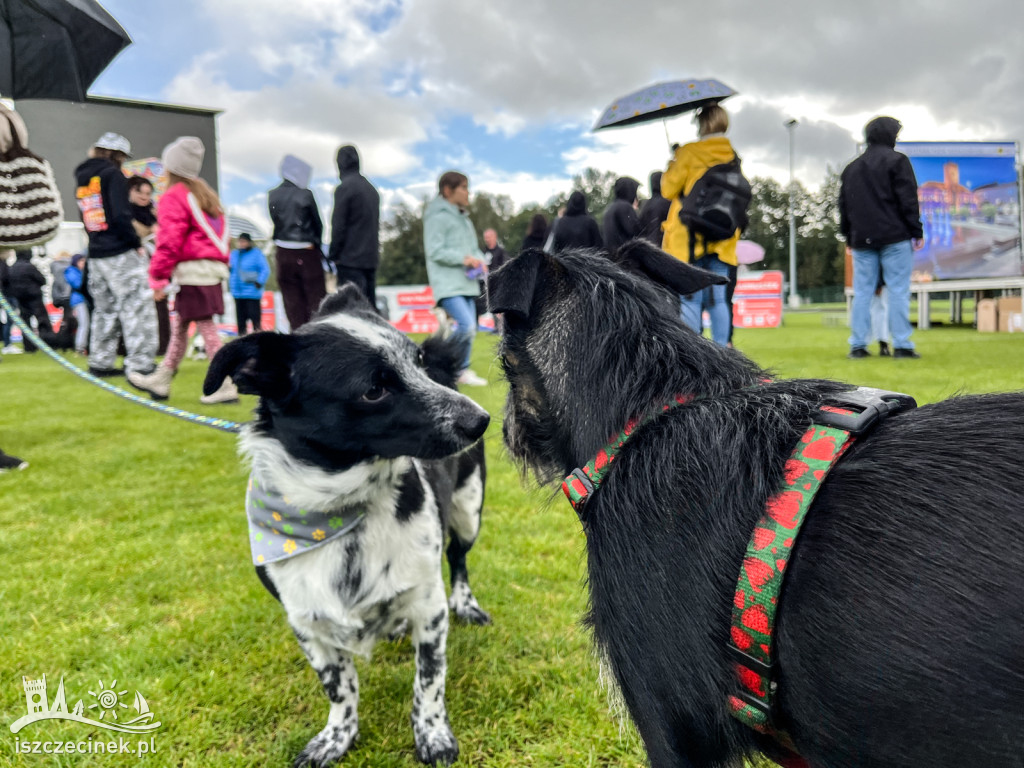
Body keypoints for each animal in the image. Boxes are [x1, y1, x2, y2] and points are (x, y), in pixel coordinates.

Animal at [204, 286, 491, 768]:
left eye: (417, 361)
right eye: (374, 389)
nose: (482, 419)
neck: (340, 514)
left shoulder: (429, 609)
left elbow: (428, 681)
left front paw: (432, 734)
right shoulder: (306, 624)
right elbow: (339, 687)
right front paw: (337, 736)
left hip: (468, 511)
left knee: (458, 559)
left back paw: (466, 603)